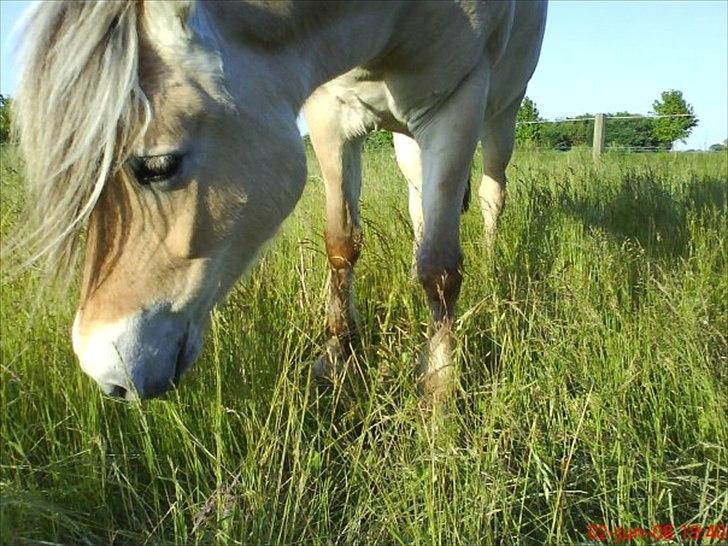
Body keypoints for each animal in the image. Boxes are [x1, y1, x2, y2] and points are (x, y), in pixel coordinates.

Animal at [12, 0, 544, 400]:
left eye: (159, 166)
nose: (106, 374)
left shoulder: (457, 103)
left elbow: (438, 269)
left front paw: (438, 394)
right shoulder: (330, 112)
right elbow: (342, 243)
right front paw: (339, 359)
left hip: (500, 115)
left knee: (490, 194)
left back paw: (492, 267)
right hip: (408, 139)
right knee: (421, 204)